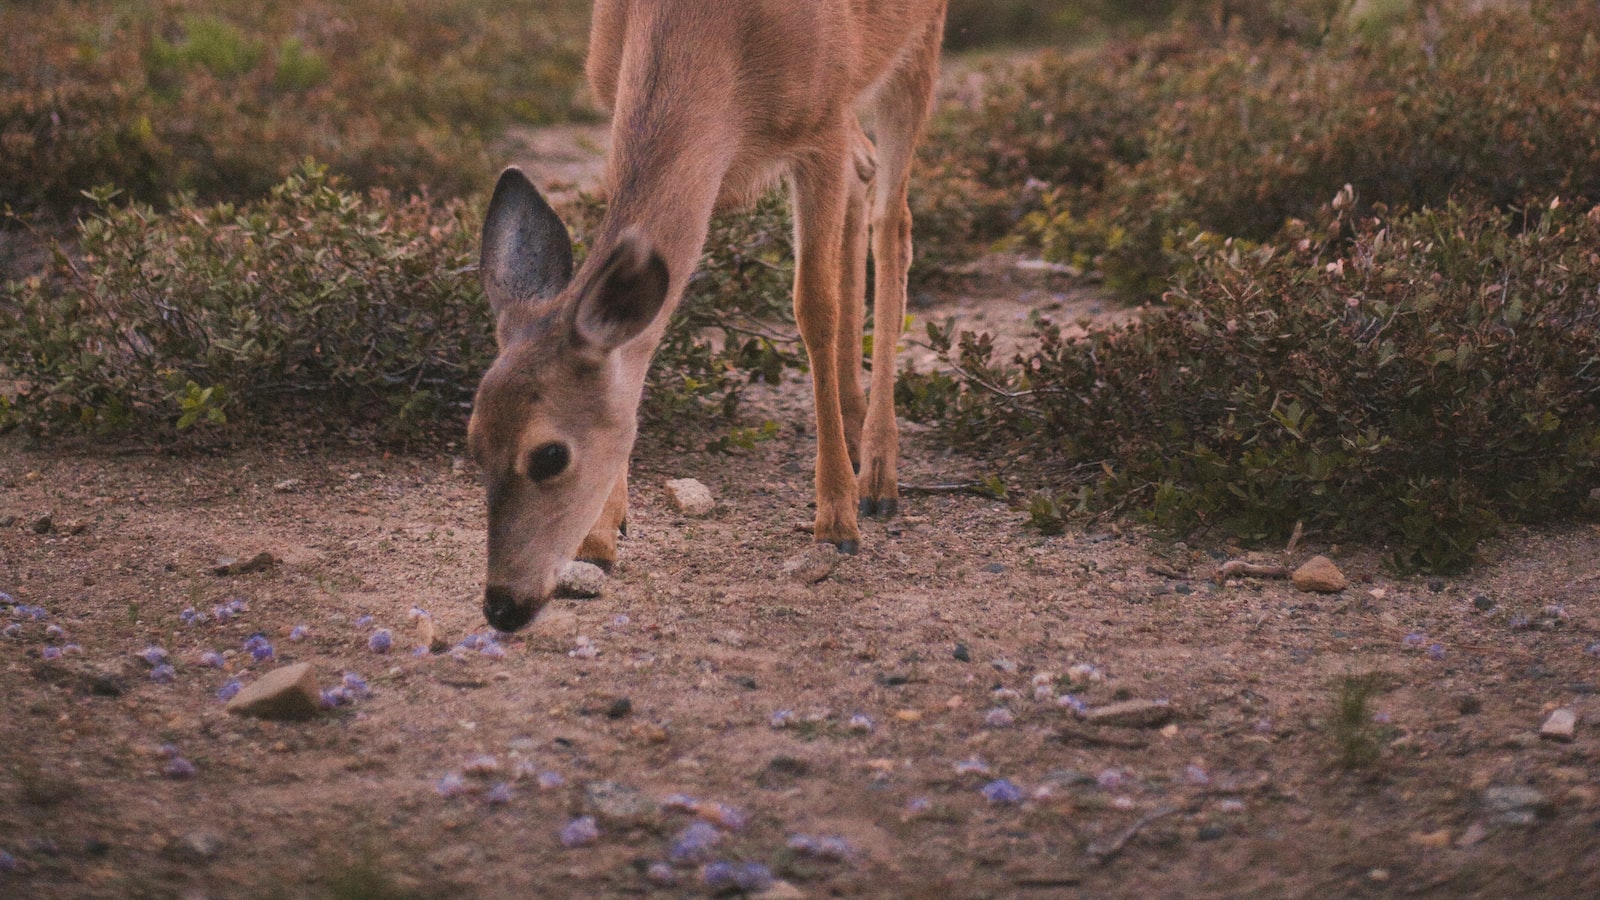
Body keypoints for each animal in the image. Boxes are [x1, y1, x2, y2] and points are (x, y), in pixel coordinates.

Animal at [467, 0, 953, 630]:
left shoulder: (819, 125)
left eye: (550, 454)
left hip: (916, 51)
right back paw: (851, 418)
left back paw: (875, 476)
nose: (501, 605)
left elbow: (813, 306)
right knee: (863, 171)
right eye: (474, 443)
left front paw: (836, 520)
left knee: (893, 220)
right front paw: (601, 537)